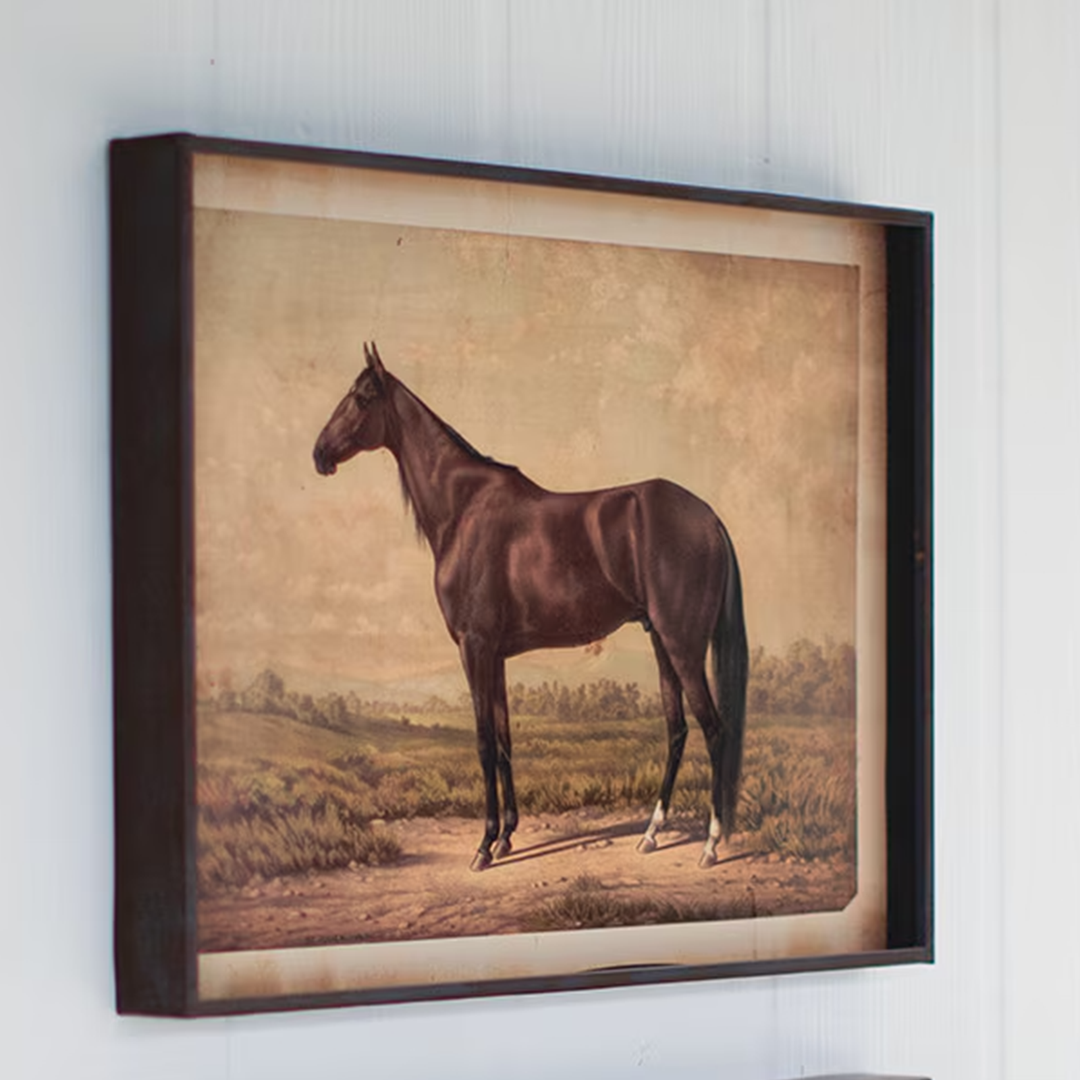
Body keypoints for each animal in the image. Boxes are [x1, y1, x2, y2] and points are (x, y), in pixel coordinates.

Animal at [313, 342, 748, 871]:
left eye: (360, 397)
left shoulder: (474, 649)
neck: (464, 509)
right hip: (663, 643)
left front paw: (483, 846)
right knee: (677, 729)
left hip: (683, 645)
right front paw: (506, 836)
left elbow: (483, 743)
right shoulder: (496, 656)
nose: (319, 453)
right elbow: (504, 742)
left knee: (714, 728)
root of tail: (709, 518)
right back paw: (650, 833)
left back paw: (710, 843)